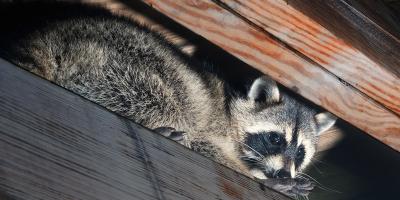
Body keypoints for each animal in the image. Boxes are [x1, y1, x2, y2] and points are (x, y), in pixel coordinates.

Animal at [0, 1, 336, 198]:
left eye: (301, 151)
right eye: (276, 139)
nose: (283, 173)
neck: (231, 110)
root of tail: (50, 35)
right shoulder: (212, 125)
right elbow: (204, 144)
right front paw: (263, 179)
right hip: (121, 62)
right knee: (163, 96)